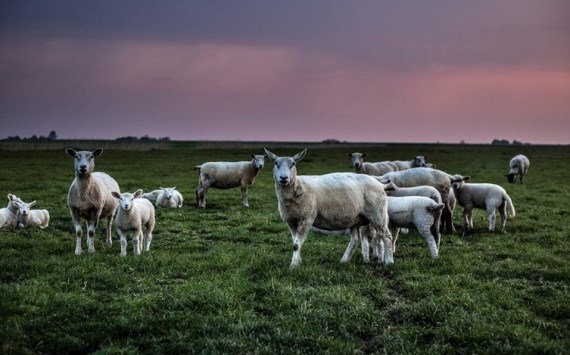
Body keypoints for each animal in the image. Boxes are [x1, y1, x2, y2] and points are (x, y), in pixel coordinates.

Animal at [264, 149, 392, 268]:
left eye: (293, 164)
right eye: (275, 163)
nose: (283, 178)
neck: (298, 187)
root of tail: (380, 184)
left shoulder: (307, 218)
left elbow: (296, 245)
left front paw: (293, 266)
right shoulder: (291, 221)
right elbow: (295, 243)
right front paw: (298, 261)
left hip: (378, 213)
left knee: (386, 235)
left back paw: (389, 262)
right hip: (355, 218)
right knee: (355, 239)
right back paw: (344, 260)